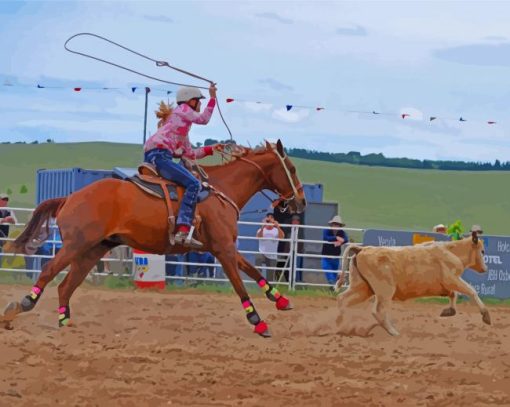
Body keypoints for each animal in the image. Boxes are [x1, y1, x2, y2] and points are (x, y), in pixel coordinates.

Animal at [2, 140, 306, 338]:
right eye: (291, 169)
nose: (301, 202)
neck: (221, 190)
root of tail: (70, 197)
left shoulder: (225, 247)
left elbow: (253, 270)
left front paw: (280, 300)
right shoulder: (222, 249)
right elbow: (240, 284)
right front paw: (258, 321)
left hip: (93, 250)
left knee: (66, 285)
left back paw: (65, 322)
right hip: (76, 245)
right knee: (48, 271)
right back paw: (21, 307)